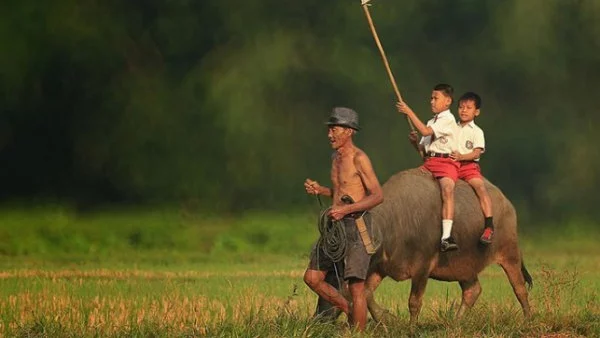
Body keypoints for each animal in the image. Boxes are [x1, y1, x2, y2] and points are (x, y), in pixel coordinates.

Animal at [312, 168, 532, 324]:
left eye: (334, 285)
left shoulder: (422, 267)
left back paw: (528, 319)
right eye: (326, 280)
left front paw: (410, 327)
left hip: (510, 252)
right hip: (464, 266)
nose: (317, 319)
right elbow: (366, 293)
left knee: (519, 287)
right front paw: (386, 318)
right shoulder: (381, 266)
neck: (394, 223)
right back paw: (456, 322)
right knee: (473, 290)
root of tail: (506, 202)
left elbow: (414, 302)